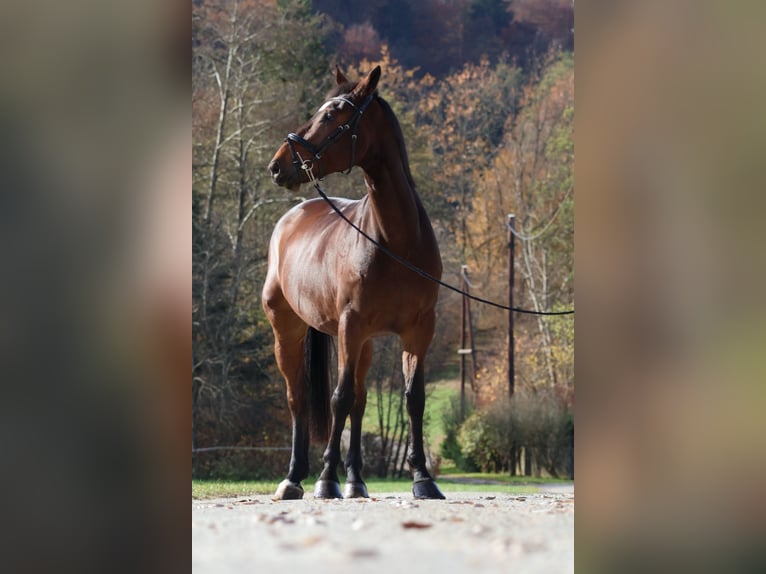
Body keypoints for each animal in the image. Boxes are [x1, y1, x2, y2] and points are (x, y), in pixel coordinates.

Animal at [263, 65, 445, 500]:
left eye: (331, 116)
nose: (278, 165)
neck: (396, 240)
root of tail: (292, 217)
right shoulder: (350, 325)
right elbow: (338, 398)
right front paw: (325, 478)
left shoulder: (418, 329)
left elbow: (412, 398)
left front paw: (423, 478)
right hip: (288, 331)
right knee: (298, 398)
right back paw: (294, 477)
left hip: (363, 344)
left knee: (361, 400)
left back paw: (356, 480)